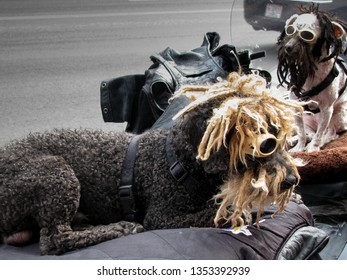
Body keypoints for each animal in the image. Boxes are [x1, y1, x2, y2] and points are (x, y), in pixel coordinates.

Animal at [0, 72, 304, 256]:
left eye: (283, 138)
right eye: (264, 143)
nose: (291, 181)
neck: (181, 159)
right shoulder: (162, 217)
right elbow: (211, 213)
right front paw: (236, 212)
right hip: (55, 173)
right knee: (54, 240)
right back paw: (120, 228)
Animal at [278, 4, 347, 152]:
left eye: (307, 35)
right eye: (290, 31)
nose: (287, 47)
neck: (311, 72)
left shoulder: (327, 109)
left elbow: (320, 134)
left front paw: (313, 148)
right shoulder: (296, 106)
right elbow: (301, 132)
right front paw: (299, 147)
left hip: (337, 115)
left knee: (330, 133)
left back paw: (319, 143)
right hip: (307, 120)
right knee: (309, 133)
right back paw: (293, 140)